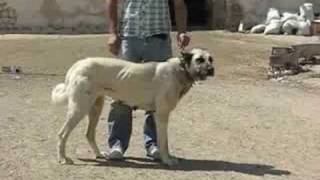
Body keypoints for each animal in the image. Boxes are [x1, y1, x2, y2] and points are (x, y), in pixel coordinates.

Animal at [52, 47, 215, 166]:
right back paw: (63, 158)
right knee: (62, 134)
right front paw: (167, 160)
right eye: (199, 59)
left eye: (211, 59)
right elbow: (164, 142)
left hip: (95, 108)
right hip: (79, 109)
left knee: (89, 134)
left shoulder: (156, 114)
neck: (180, 70)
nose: (212, 70)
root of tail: (77, 65)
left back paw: (99, 154)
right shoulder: (162, 115)